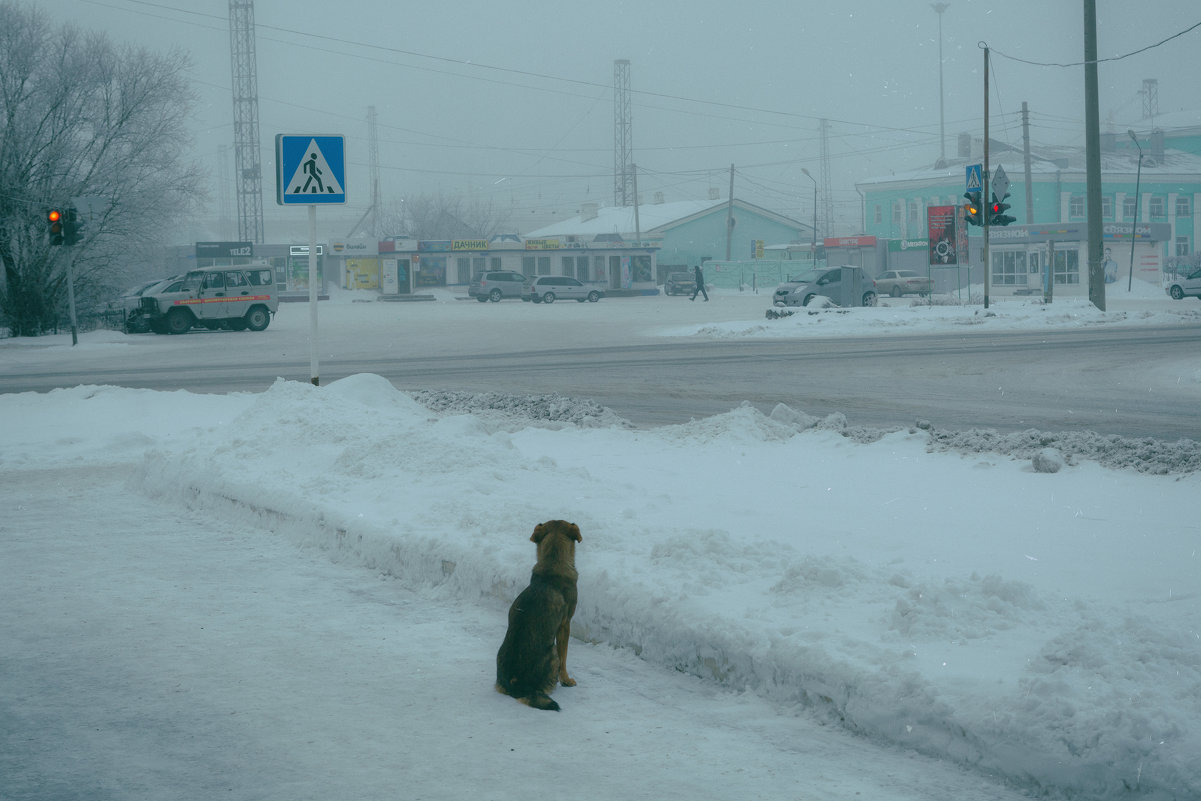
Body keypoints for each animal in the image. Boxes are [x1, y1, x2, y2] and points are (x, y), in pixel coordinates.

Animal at [494, 523, 583, 710]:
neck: (552, 562)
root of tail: (515, 683)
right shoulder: (565, 625)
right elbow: (565, 658)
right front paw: (567, 680)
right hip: (553, 651)